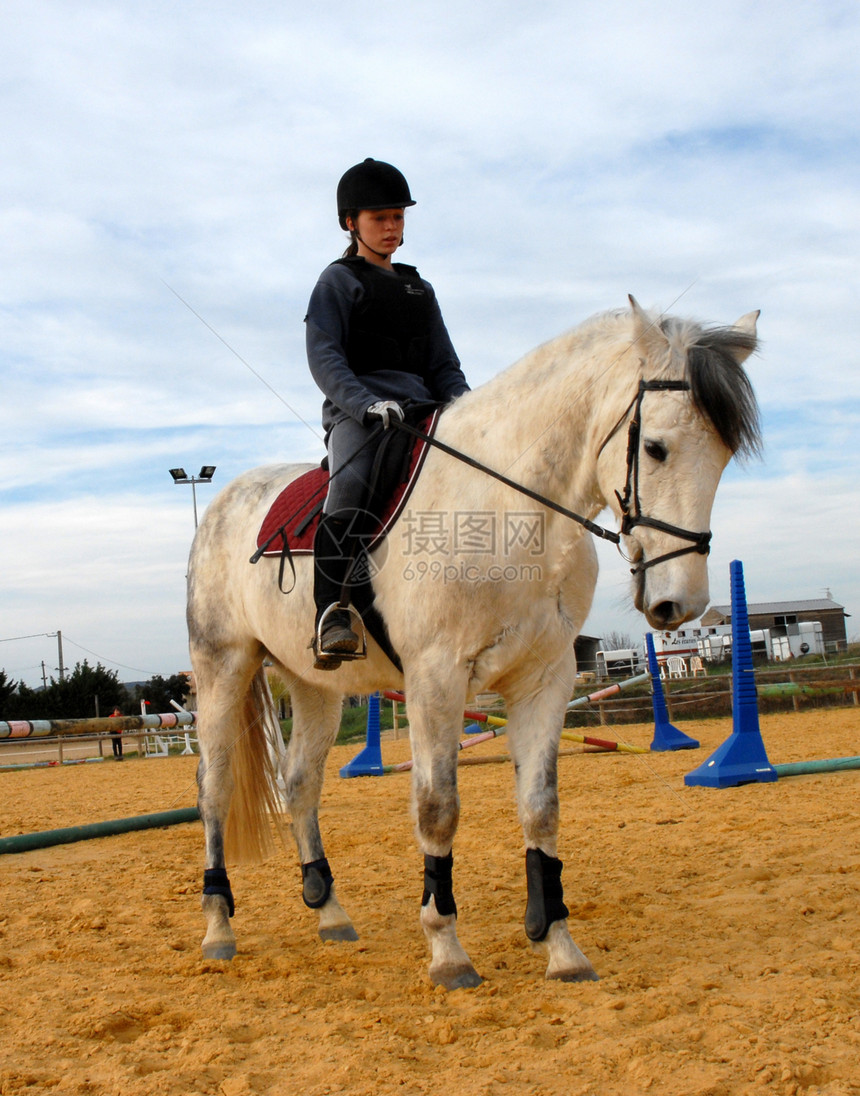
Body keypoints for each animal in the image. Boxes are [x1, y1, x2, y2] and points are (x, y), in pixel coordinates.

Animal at [188, 295, 758, 990]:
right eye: (655, 448)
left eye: (724, 456)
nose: (683, 605)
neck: (508, 508)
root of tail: (224, 499)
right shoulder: (436, 679)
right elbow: (438, 808)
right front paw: (448, 951)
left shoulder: (544, 679)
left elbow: (541, 807)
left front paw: (559, 945)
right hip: (223, 667)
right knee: (214, 789)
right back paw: (219, 928)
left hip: (315, 684)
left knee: (299, 784)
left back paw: (330, 913)